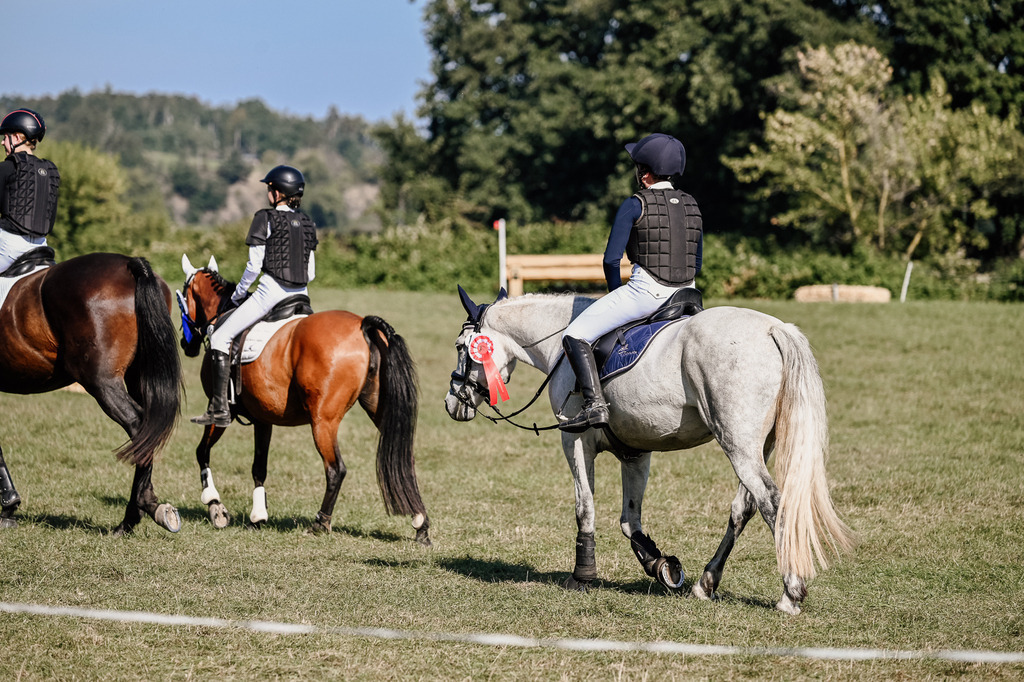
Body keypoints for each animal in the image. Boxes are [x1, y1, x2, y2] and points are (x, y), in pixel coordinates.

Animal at [0, 252, 182, 535]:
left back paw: (132, 517)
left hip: (101, 382)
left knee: (138, 425)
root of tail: (130, 264)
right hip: (137, 376)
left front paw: (8, 506)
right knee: (148, 430)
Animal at [178, 255, 430, 546]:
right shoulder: (263, 420)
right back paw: (421, 524)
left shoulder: (219, 412)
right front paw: (258, 517)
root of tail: (362, 324)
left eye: (182, 295)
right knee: (405, 462)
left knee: (336, 469)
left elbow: (202, 452)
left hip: (323, 421)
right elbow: (259, 467)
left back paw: (320, 523)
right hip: (380, 410)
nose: (186, 345)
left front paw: (216, 507)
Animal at [445, 288, 854, 614]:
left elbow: (584, 507)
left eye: (462, 348)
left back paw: (791, 592)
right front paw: (662, 567)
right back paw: (706, 583)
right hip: (755, 447)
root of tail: (773, 328)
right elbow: (630, 520)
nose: (452, 403)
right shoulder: (636, 452)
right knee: (745, 507)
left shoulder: (574, 440)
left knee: (771, 501)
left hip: (738, 444)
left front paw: (583, 575)